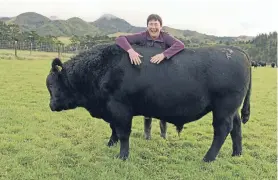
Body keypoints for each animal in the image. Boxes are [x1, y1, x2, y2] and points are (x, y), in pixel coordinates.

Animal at [46, 43, 252, 162]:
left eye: (54, 84)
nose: (51, 106)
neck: (103, 66)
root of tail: (237, 51)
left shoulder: (120, 108)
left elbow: (123, 133)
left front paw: (122, 156)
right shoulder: (111, 110)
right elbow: (114, 129)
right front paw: (110, 144)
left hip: (224, 108)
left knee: (222, 130)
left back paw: (208, 158)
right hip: (231, 109)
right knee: (236, 127)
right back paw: (237, 154)